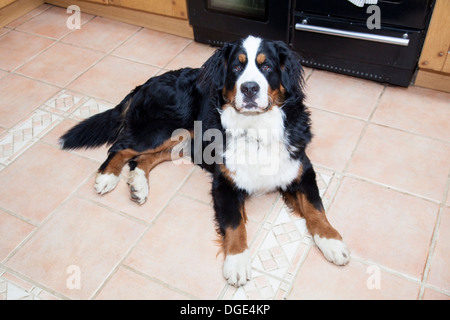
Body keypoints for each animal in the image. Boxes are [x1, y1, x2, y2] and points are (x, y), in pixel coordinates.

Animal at [59, 36, 350, 286]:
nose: (250, 88)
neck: (256, 129)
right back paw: (107, 177)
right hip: (162, 128)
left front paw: (331, 241)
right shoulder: (225, 183)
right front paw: (237, 262)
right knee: (121, 147)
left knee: (143, 159)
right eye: (236, 67)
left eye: (266, 66)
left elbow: (315, 208)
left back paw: (138, 185)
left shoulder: (301, 169)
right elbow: (234, 223)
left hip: (184, 139)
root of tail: (145, 84)